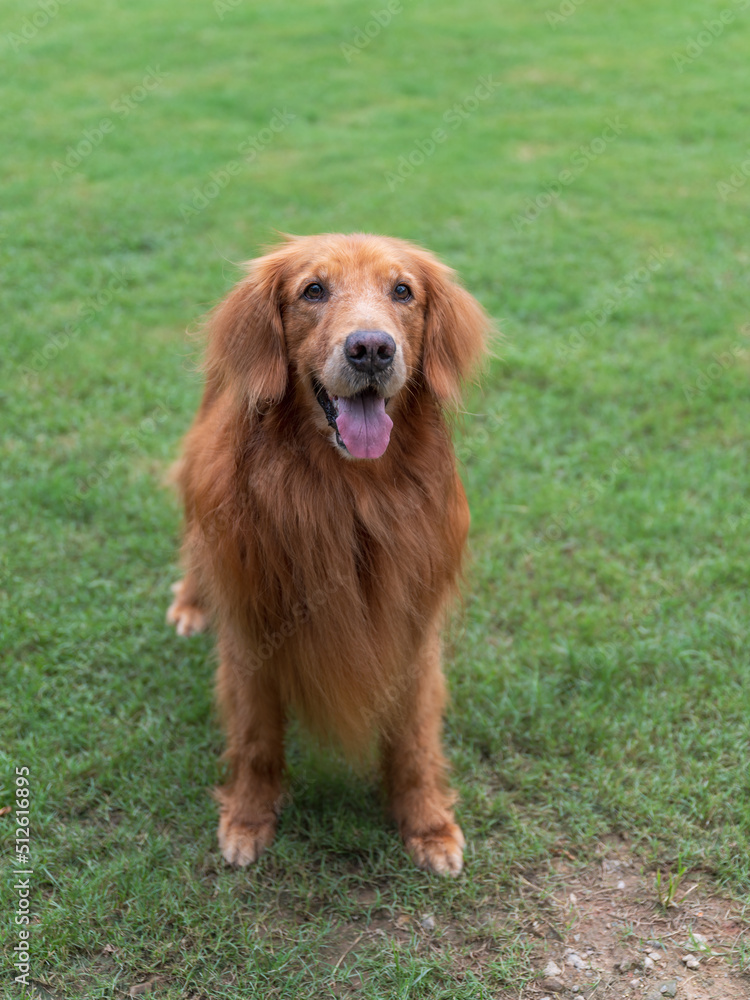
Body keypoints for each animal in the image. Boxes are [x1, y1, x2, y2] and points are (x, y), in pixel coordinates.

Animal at [167, 234, 490, 876]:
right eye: (313, 290)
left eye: (403, 291)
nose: (371, 349)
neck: (347, 496)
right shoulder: (251, 629)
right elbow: (256, 737)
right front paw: (248, 818)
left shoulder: (410, 630)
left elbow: (414, 740)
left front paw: (427, 824)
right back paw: (191, 602)